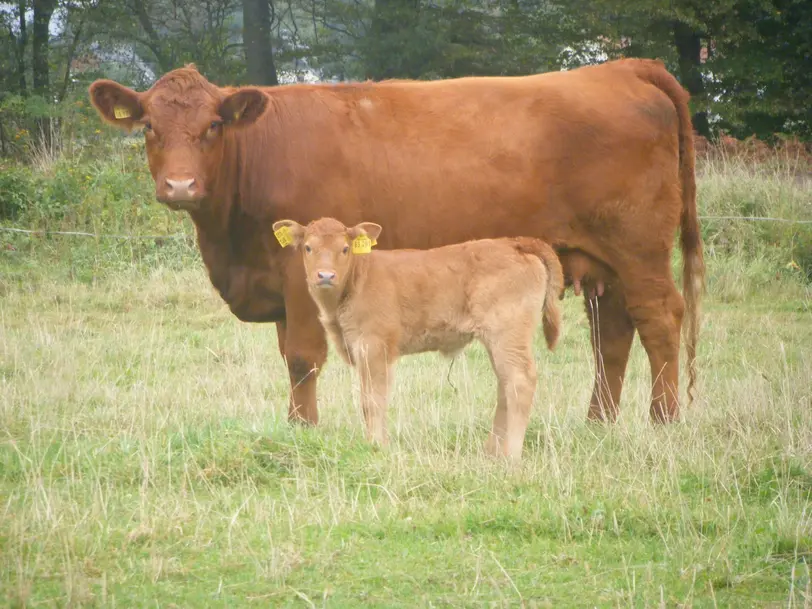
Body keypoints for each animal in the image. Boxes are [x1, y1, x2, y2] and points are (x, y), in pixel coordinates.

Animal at [85, 59, 700, 426]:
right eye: (148, 128)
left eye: (213, 126)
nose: (180, 185)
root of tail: (621, 68)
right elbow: (291, 358)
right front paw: (296, 426)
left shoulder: (301, 274)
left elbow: (303, 357)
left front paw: (304, 431)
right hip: (602, 262)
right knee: (613, 333)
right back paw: (600, 423)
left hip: (639, 249)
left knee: (659, 318)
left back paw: (663, 421)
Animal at [272, 216, 564, 458]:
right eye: (308, 247)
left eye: (345, 249)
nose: (325, 275)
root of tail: (514, 243)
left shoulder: (374, 345)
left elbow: (372, 400)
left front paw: (376, 445)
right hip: (498, 340)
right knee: (505, 384)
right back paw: (493, 451)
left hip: (508, 334)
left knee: (520, 381)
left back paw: (510, 455)